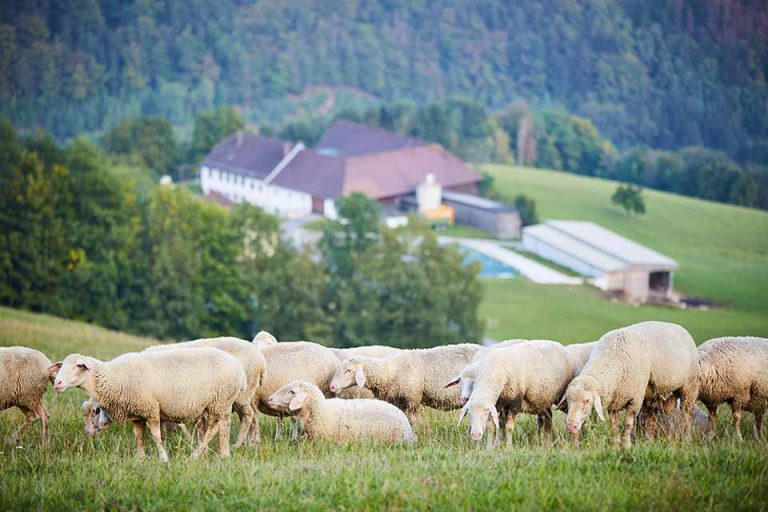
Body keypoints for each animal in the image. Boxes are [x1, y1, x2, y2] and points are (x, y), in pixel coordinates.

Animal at [50, 348, 246, 464]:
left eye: (78, 366)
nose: (57, 383)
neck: (113, 377)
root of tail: (238, 366)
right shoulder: (137, 413)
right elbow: (139, 436)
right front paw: (141, 458)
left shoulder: (151, 409)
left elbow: (156, 436)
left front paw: (164, 459)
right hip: (223, 404)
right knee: (223, 427)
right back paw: (224, 454)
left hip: (218, 403)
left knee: (212, 430)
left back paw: (195, 456)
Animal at [328, 342, 484, 422]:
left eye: (348, 370)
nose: (332, 386)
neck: (391, 371)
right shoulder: (400, 402)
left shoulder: (413, 399)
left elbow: (416, 422)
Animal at [560, 322, 700, 450]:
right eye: (568, 400)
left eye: (587, 401)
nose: (570, 426)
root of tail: (680, 328)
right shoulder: (615, 402)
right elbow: (614, 426)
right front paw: (616, 446)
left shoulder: (635, 400)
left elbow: (627, 424)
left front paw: (626, 446)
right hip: (654, 394)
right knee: (651, 416)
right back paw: (648, 441)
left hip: (690, 387)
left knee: (687, 415)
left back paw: (687, 440)